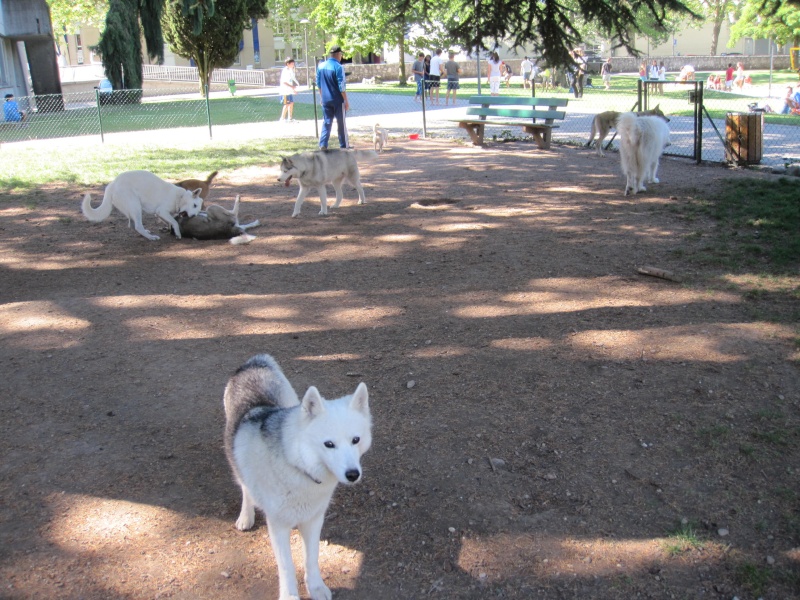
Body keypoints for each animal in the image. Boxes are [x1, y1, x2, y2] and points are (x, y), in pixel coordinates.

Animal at [223, 354, 374, 596]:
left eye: (356, 440)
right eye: (329, 444)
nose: (353, 474)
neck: (298, 467)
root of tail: (255, 361)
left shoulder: (314, 519)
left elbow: (311, 559)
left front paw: (316, 587)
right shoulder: (278, 526)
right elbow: (287, 567)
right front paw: (290, 595)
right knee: (245, 487)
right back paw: (246, 516)